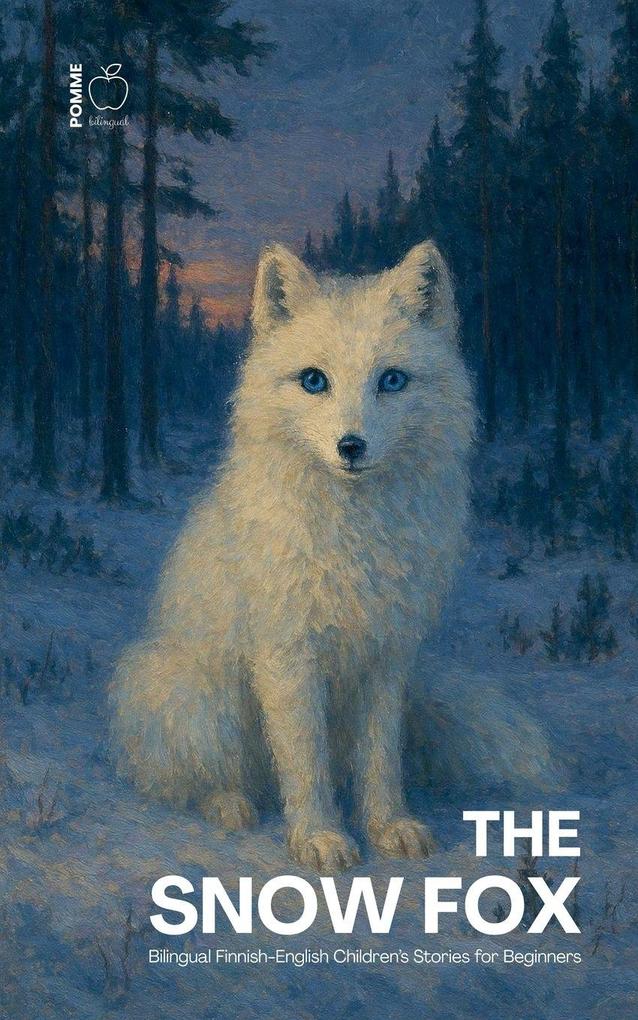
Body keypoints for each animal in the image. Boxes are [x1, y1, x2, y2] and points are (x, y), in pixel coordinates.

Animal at [110, 240, 552, 872]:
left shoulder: (385, 657)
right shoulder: (289, 657)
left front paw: (388, 827)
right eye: (314, 381)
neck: (355, 537)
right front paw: (319, 838)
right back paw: (230, 804)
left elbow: (380, 762)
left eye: (392, 380)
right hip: (196, 697)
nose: (351, 446)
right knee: (205, 775)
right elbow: (305, 763)